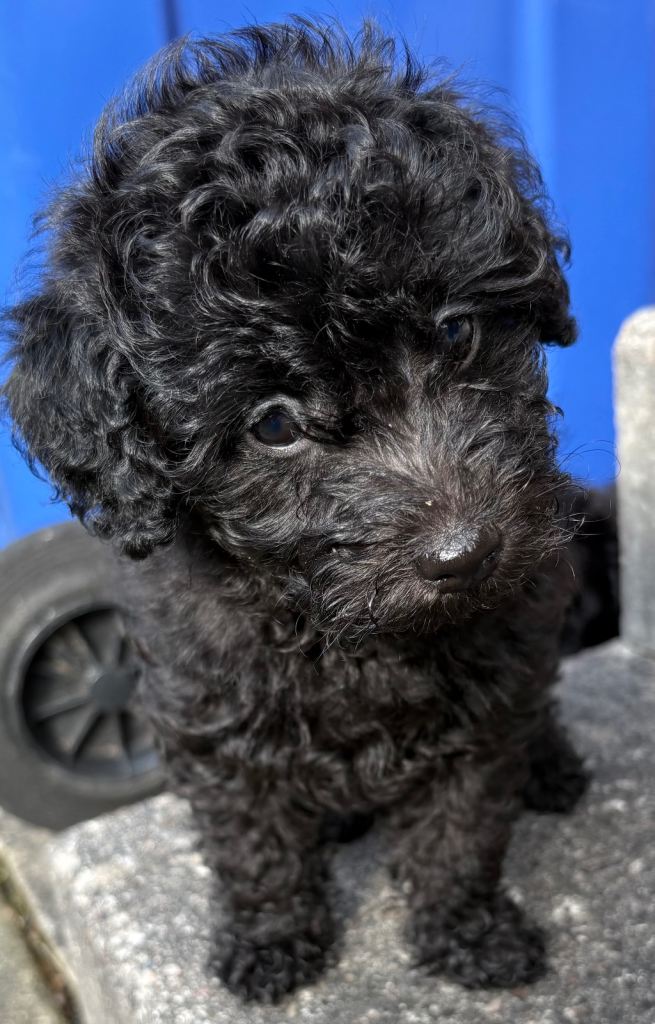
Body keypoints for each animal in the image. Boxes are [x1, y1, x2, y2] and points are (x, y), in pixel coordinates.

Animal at [3, 20, 592, 1003]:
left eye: (455, 331)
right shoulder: (211, 710)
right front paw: (272, 941)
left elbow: (461, 828)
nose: (465, 552)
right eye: (274, 424)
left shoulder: (489, 684)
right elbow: (253, 840)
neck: (341, 628)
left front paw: (466, 933)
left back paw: (548, 766)